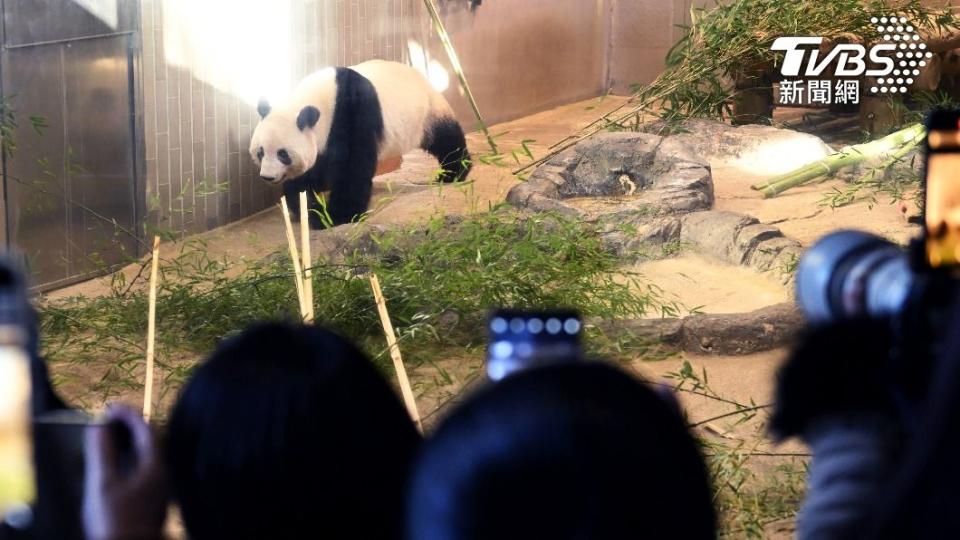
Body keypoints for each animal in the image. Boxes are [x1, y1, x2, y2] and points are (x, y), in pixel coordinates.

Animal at [249, 59, 470, 228]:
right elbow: (308, 174)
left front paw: (334, 217)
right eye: (260, 152)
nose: (267, 176)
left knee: (446, 140)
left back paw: (453, 173)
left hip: (427, 114)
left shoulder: (351, 113)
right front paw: (307, 206)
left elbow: (352, 168)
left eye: (283, 154)